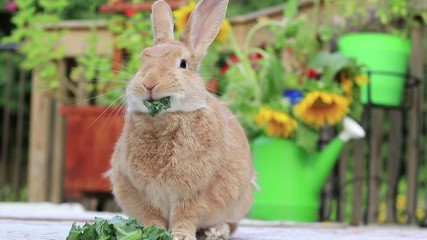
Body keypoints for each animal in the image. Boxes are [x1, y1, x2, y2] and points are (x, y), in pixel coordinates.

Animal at [110, 0, 256, 239]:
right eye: (142, 60)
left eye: (183, 64)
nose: (149, 83)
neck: (164, 118)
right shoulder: (146, 194)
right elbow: (153, 216)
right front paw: (152, 232)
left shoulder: (192, 194)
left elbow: (186, 216)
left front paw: (181, 235)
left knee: (231, 223)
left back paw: (216, 231)